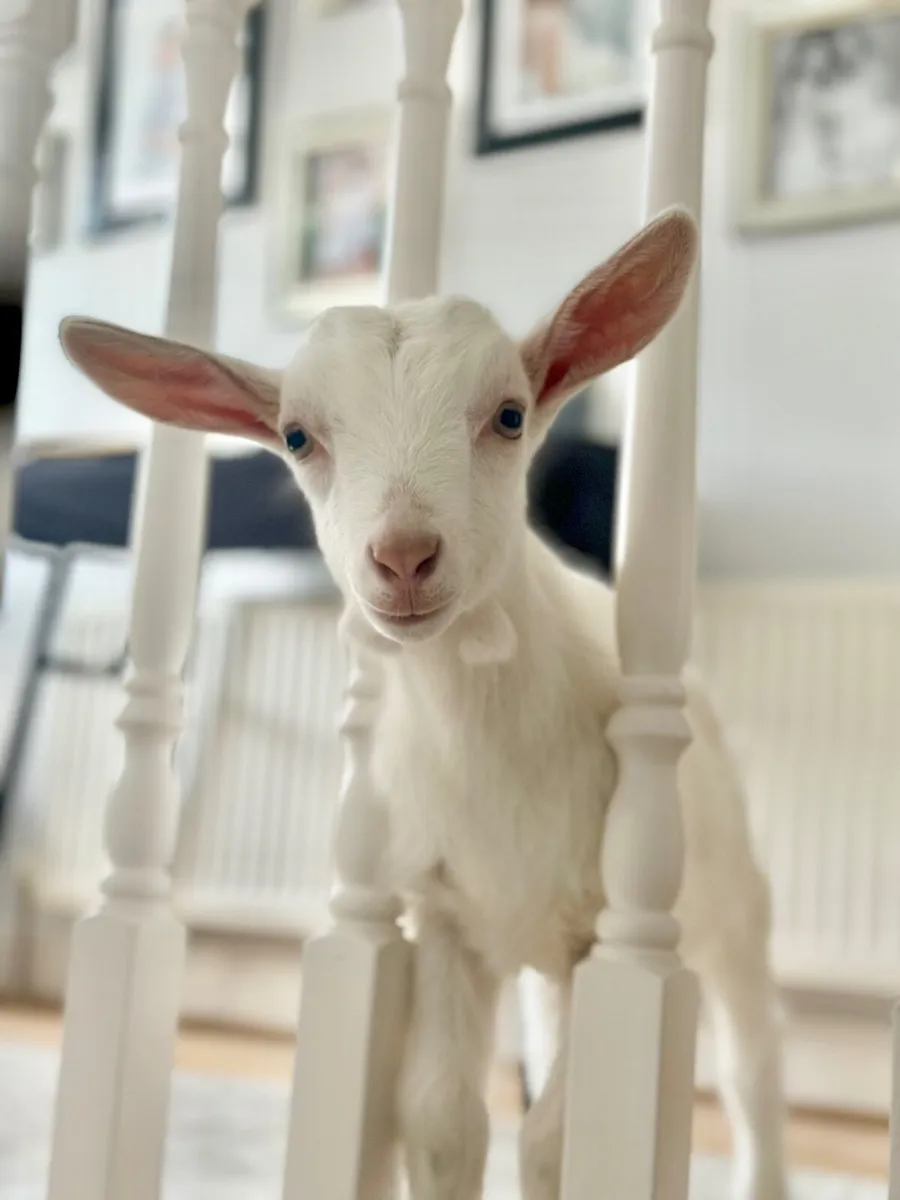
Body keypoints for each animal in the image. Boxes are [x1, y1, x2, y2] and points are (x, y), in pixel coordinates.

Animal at [59, 208, 786, 1200]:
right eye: (298, 437)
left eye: (510, 415)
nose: (403, 556)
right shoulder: (446, 917)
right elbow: (443, 1118)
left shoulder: (608, 930)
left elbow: (562, 1134)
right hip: (541, 953)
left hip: (726, 903)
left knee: (754, 1069)